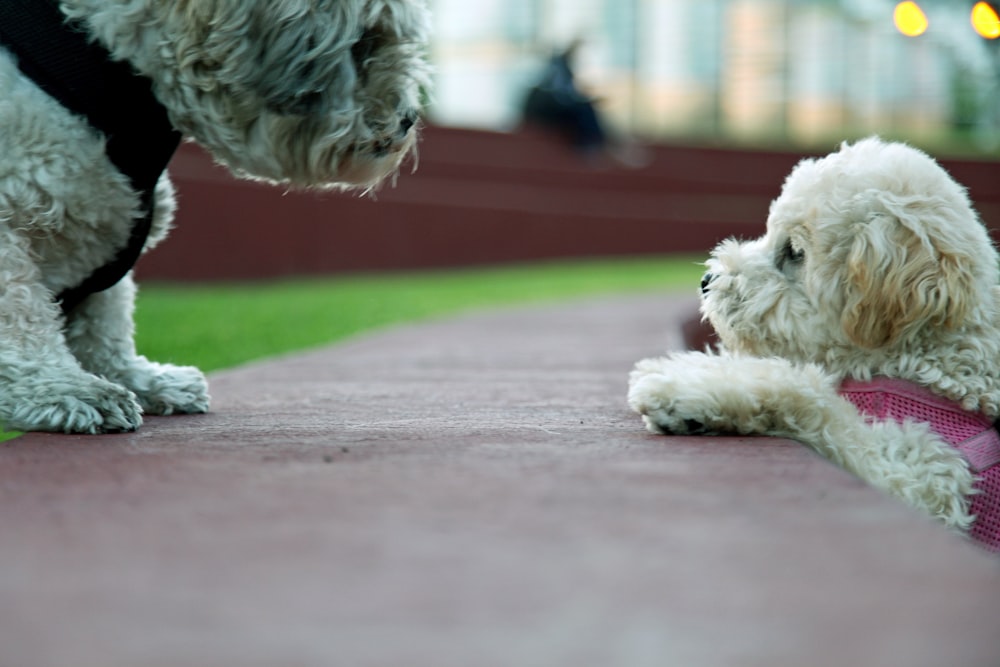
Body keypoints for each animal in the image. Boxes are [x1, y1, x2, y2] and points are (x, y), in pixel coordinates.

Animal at [0, 0, 426, 436]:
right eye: (364, 40)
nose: (408, 117)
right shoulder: (8, 228)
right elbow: (21, 318)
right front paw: (61, 389)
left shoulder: (104, 236)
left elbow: (106, 320)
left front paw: (133, 377)